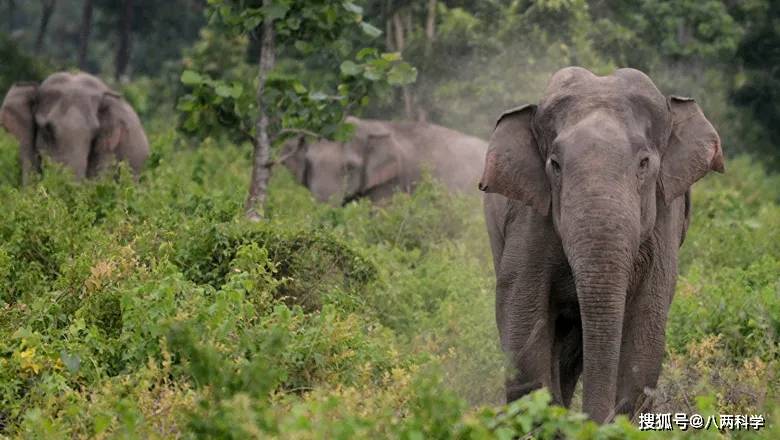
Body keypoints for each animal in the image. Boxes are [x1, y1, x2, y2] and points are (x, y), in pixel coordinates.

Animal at [478, 66, 728, 422]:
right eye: (555, 165)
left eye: (644, 163)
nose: (593, 421)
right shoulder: (529, 217)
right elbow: (522, 307)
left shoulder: (664, 215)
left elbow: (647, 320)